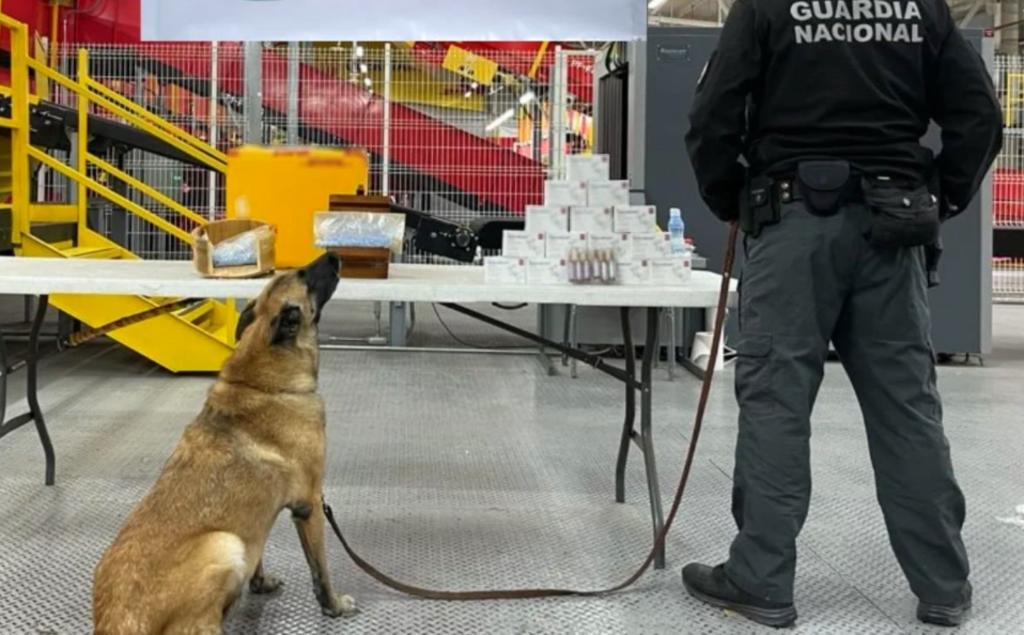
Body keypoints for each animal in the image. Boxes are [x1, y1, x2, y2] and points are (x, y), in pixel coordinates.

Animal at [93, 254, 356, 635]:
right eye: (304, 275)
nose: (336, 257)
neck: (263, 383)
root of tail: (117, 622)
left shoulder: (258, 523)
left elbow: (259, 552)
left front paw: (260, 583)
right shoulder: (309, 505)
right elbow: (320, 569)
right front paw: (333, 605)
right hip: (224, 543)